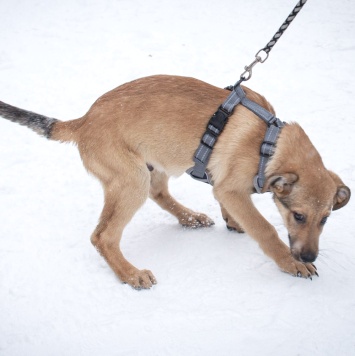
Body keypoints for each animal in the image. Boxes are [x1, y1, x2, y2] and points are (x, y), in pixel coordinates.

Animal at [0, 75, 350, 290]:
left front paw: (232, 220)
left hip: (158, 160)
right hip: (133, 179)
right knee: (102, 236)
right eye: (298, 216)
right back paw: (130, 274)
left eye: (325, 219)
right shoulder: (232, 189)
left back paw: (190, 218)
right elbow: (264, 229)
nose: (309, 257)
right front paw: (290, 264)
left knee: (158, 193)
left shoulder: (225, 186)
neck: (269, 145)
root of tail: (83, 121)